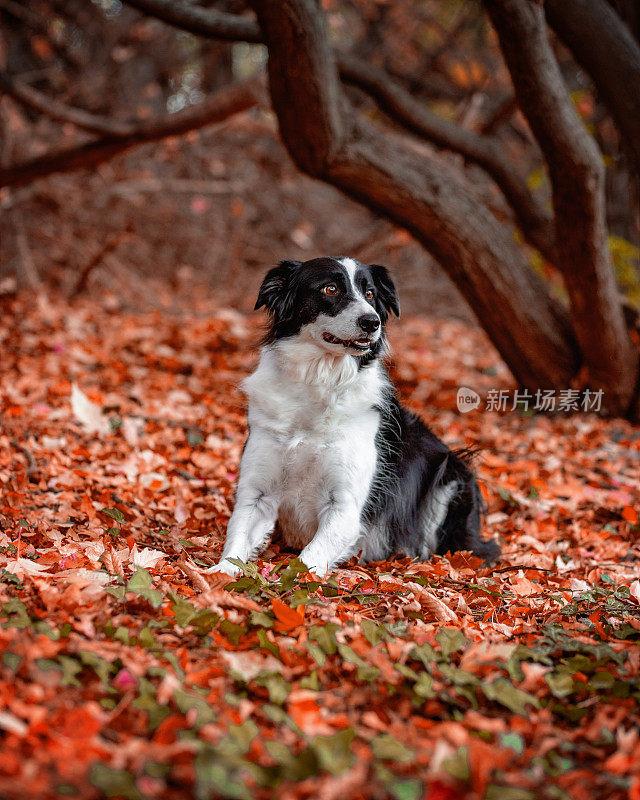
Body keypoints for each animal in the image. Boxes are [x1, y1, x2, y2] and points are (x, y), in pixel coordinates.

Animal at [215, 256, 500, 576]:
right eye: (330, 288)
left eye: (370, 294)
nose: (372, 322)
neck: (318, 382)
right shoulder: (256, 494)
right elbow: (235, 544)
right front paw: (216, 576)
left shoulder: (345, 507)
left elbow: (307, 560)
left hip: (452, 472)